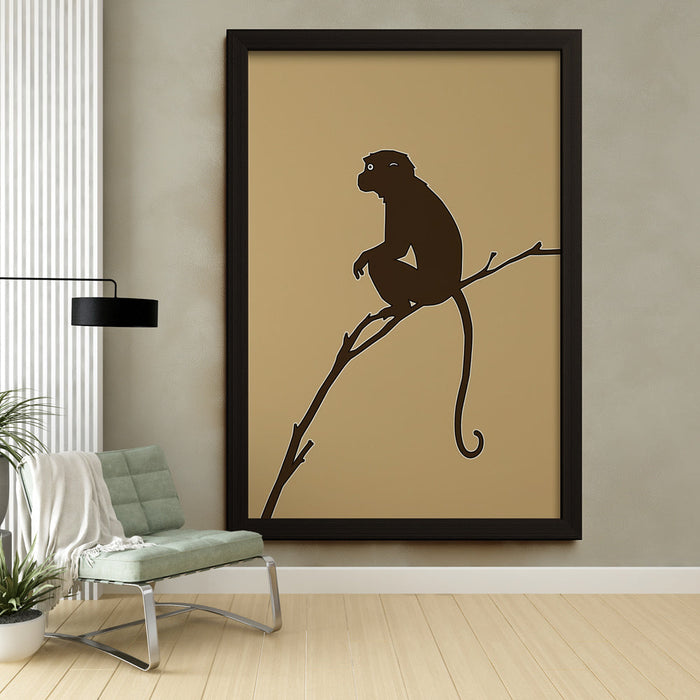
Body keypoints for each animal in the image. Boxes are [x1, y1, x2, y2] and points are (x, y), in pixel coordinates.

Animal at [353, 150, 484, 458]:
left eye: (371, 167)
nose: (360, 175)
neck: (403, 183)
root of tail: (451, 286)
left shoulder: (399, 203)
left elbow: (396, 248)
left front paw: (364, 257)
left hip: (421, 286)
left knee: (383, 263)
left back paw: (399, 307)